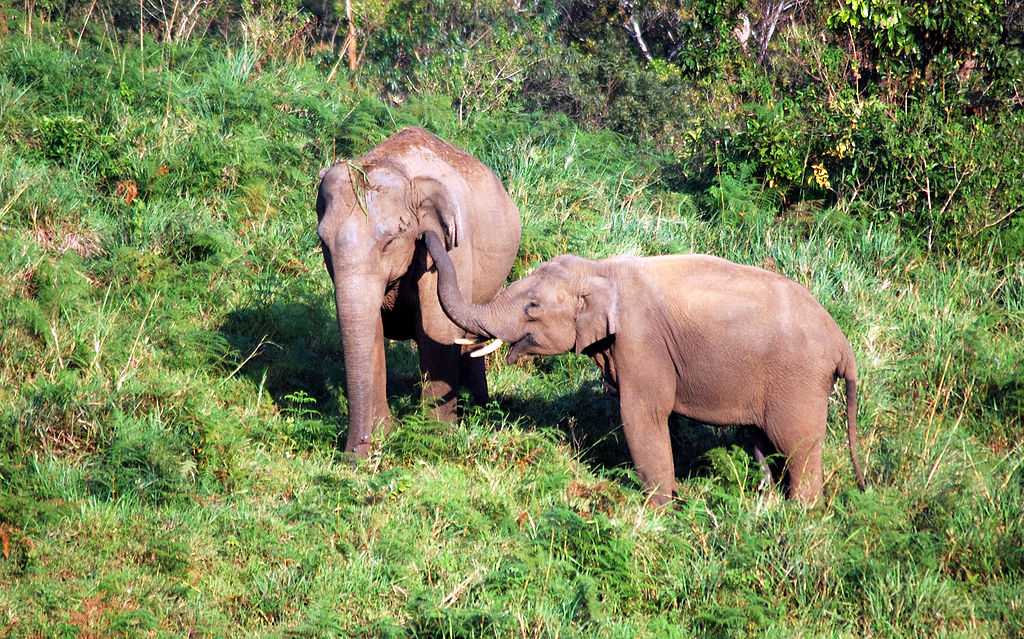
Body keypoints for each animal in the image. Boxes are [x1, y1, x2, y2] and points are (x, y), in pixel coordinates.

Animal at [316, 128, 521, 456]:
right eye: (323, 240)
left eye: (392, 239)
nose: (352, 457)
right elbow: (371, 329)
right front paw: (384, 434)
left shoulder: (455, 247)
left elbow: (437, 329)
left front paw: (435, 437)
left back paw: (479, 410)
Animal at [422, 231, 866, 506]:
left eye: (532, 307)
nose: (427, 238)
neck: (601, 269)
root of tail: (843, 345)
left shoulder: (641, 342)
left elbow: (643, 416)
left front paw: (657, 512)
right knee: (761, 443)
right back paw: (765, 504)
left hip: (799, 381)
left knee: (798, 448)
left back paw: (801, 515)